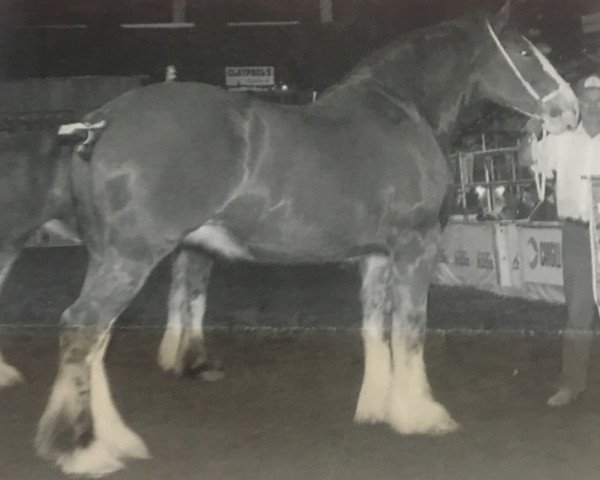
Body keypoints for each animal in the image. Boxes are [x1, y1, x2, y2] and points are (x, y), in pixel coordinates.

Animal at [3, 5, 576, 478]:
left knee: (94, 340)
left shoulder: (374, 257)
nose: (570, 109)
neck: (402, 112)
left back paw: (115, 440)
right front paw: (422, 414)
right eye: (526, 51)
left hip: (113, 255)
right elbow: (410, 328)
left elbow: (376, 328)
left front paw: (379, 408)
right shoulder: (415, 246)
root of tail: (100, 123)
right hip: (131, 255)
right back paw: (84, 452)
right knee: (82, 328)